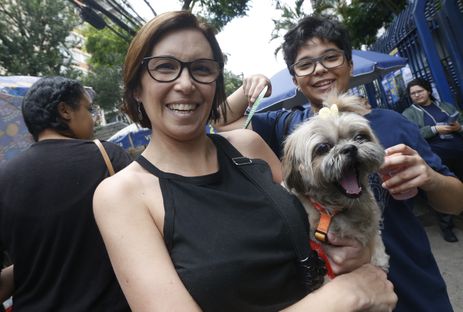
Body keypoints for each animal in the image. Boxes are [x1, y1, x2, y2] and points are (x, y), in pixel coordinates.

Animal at [280, 94, 390, 274]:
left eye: (360, 137)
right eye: (323, 147)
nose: (350, 148)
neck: (333, 210)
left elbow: (374, 235)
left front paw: (379, 257)